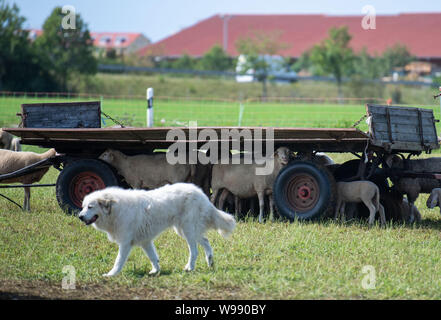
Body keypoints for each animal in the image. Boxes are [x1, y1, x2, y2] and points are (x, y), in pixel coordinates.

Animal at [79, 184, 237, 276]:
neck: (115, 208)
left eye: (90, 207)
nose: (80, 216)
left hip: (187, 230)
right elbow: (153, 257)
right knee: (205, 241)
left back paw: (190, 268)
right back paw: (210, 262)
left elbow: (118, 261)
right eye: (83, 206)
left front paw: (111, 274)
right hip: (186, 230)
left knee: (194, 250)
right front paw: (155, 271)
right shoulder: (145, 242)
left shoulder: (125, 243)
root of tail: (201, 193)